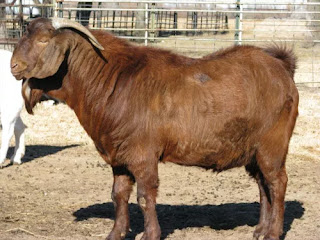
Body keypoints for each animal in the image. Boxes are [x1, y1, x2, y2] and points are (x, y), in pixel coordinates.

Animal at [10, 17, 300, 240]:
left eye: (43, 40)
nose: (13, 66)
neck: (113, 81)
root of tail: (282, 67)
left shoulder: (143, 153)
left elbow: (144, 195)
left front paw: (150, 234)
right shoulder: (119, 154)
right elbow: (118, 195)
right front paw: (115, 233)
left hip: (272, 145)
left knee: (277, 183)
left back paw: (273, 232)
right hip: (253, 151)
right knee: (263, 184)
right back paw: (259, 230)